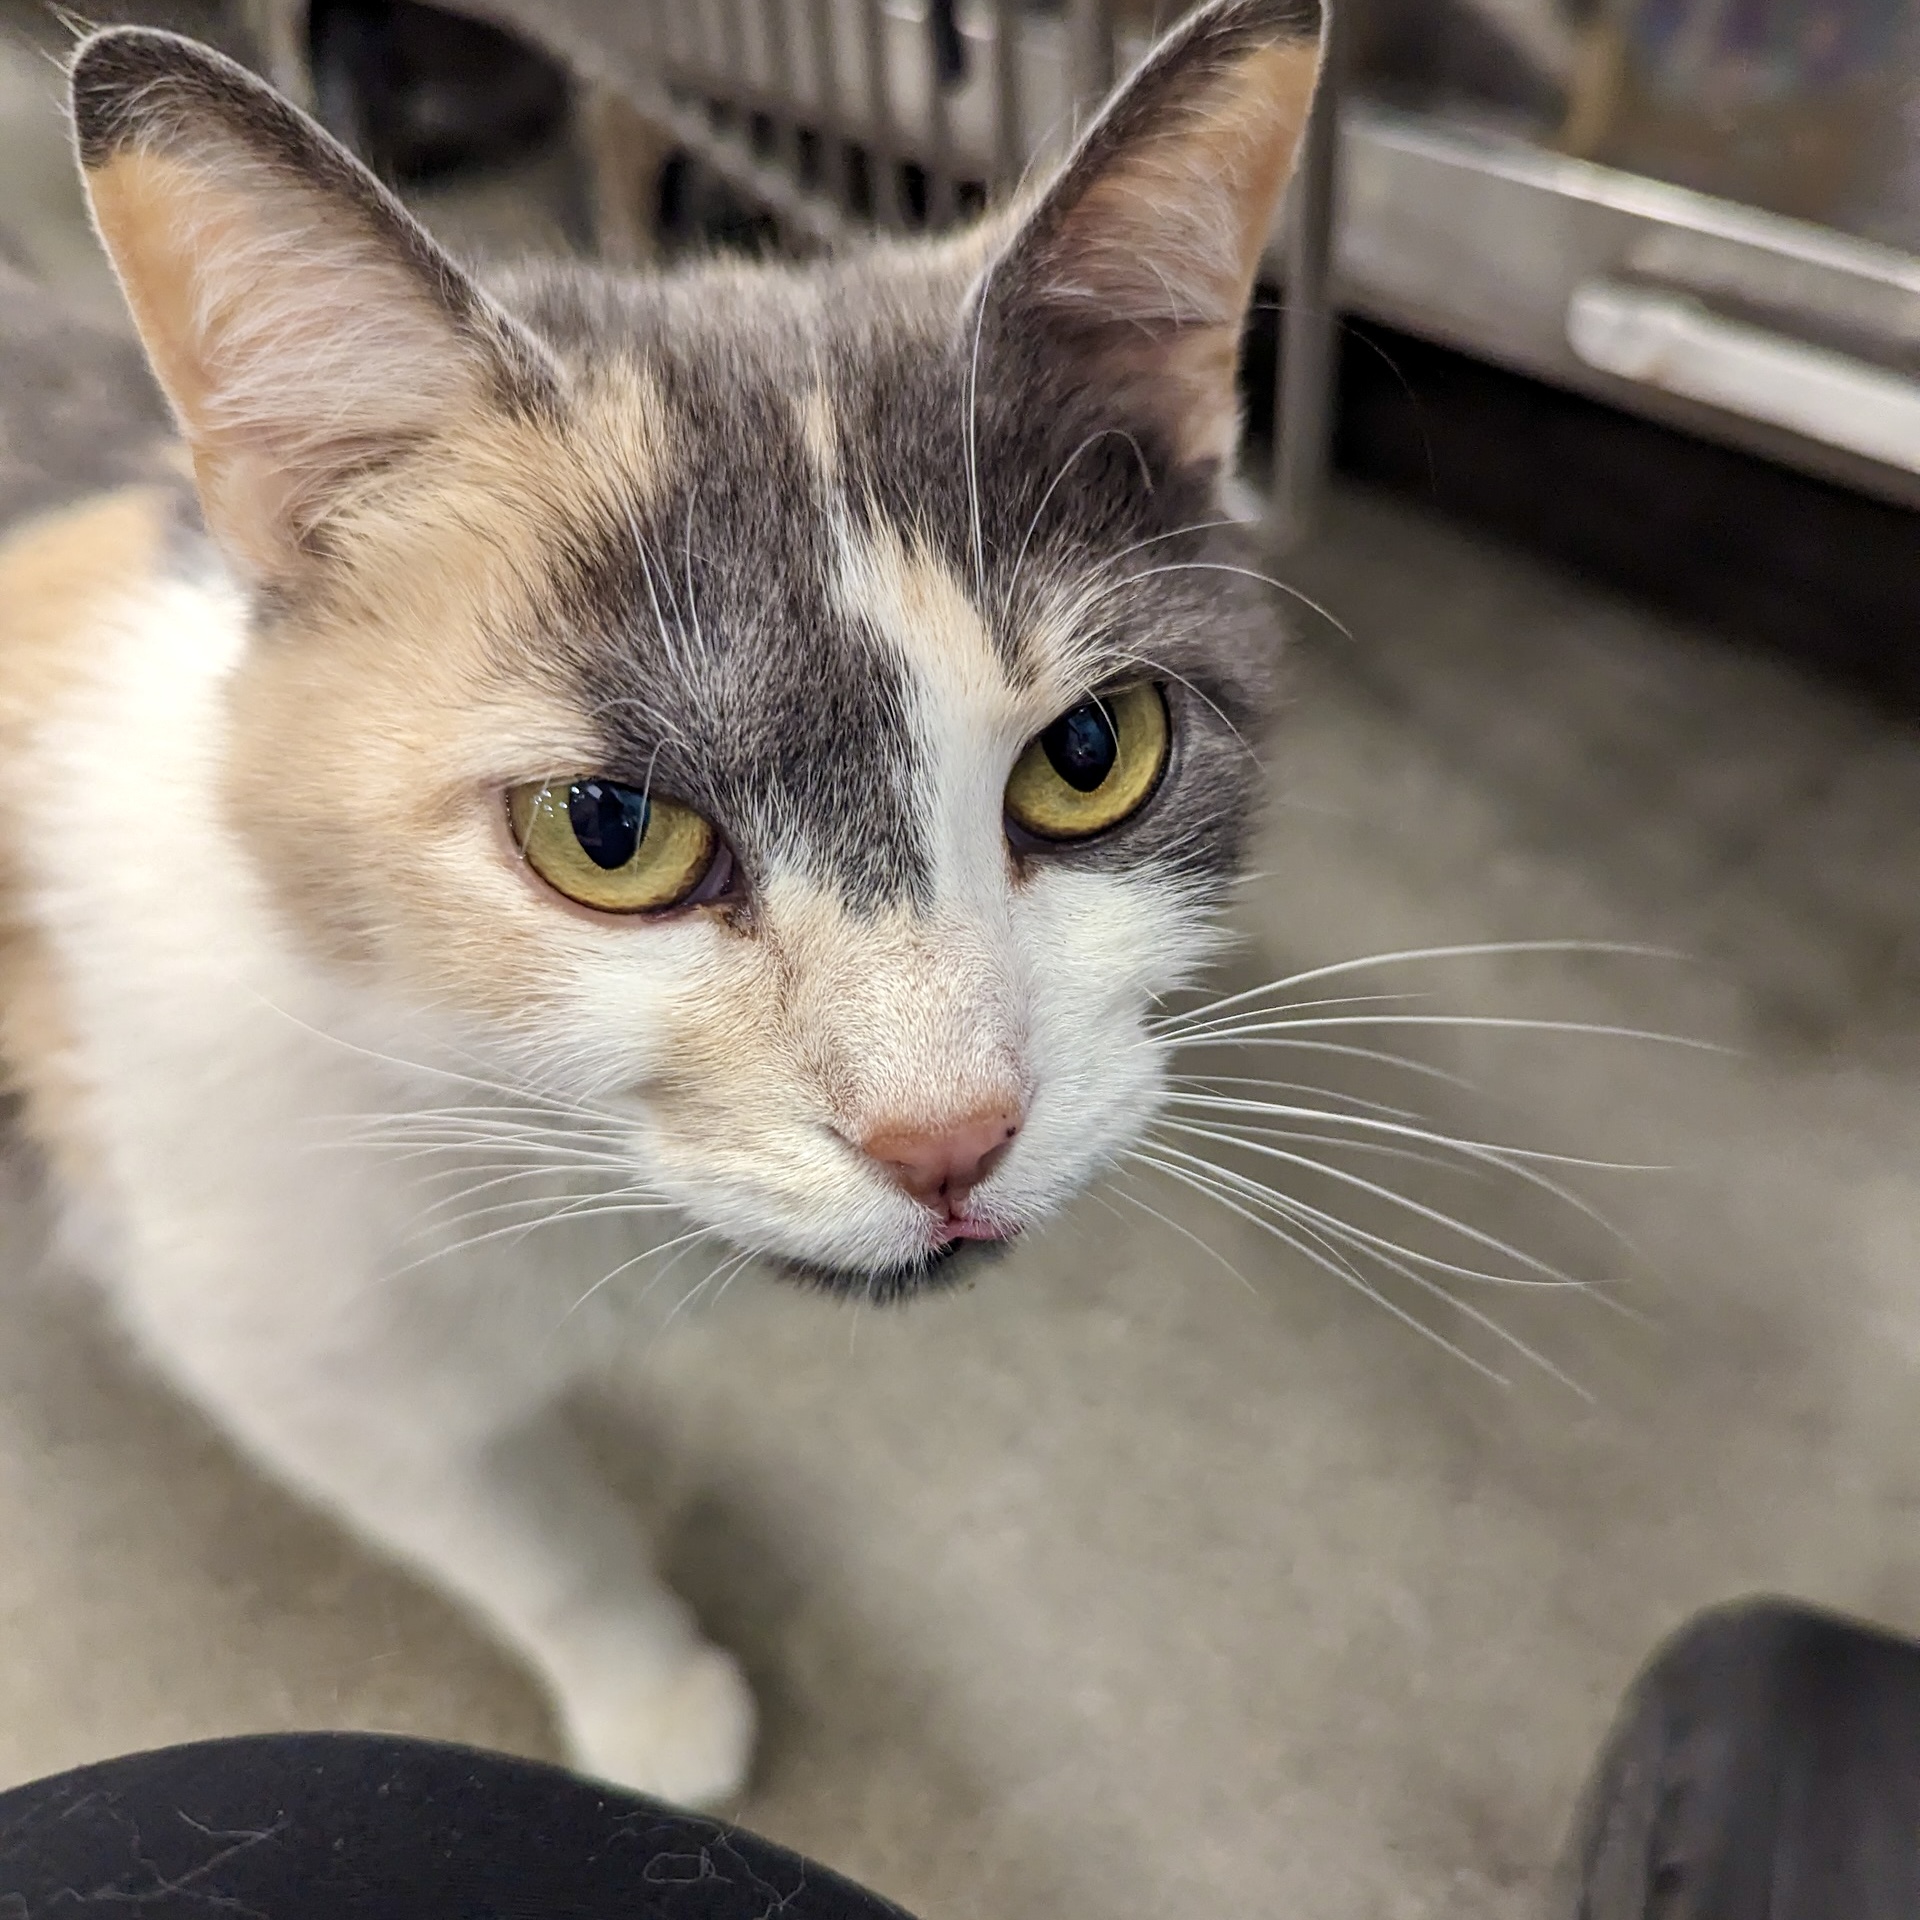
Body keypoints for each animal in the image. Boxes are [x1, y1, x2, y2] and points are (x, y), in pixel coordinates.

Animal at [0, 0, 1323, 1805]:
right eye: (607, 833)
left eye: (1092, 753)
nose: (950, 1136)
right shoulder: (262, 1307)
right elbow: (508, 1518)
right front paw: (652, 1698)